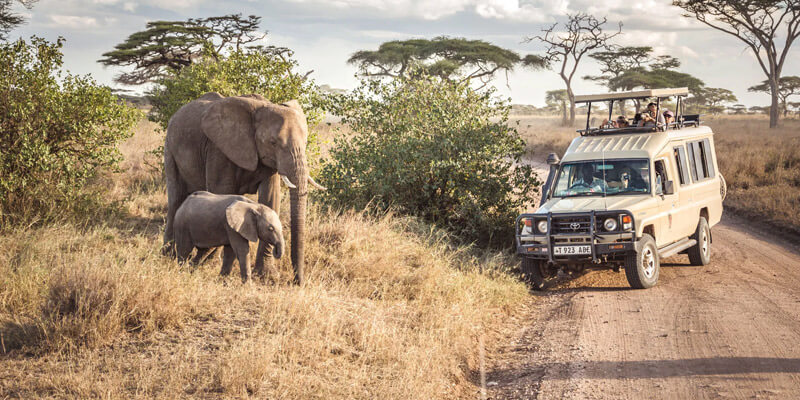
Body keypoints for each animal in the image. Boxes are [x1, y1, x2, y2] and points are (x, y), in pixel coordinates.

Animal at [162, 92, 324, 282]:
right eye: (273, 142)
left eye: (305, 143)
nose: (297, 282)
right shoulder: (219, 149)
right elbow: (222, 192)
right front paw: (211, 261)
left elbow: (270, 199)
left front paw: (266, 274)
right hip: (169, 148)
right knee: (175, 198)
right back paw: (168, 255)